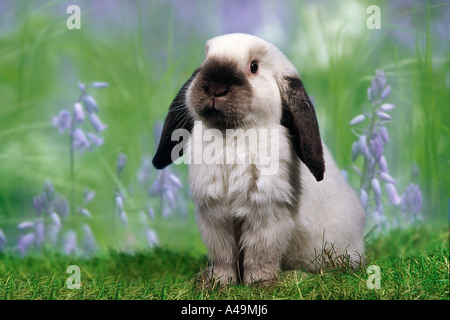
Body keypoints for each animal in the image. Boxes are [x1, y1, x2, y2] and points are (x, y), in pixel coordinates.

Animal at [153, 32, 364, 284]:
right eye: (205, 61)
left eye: (254, 67)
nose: (215, 87)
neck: (231, 134)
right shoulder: (215, 215)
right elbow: (223, 256)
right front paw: (218, 282)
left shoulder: (265, 213)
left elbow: (259, 254)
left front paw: (260, 283)